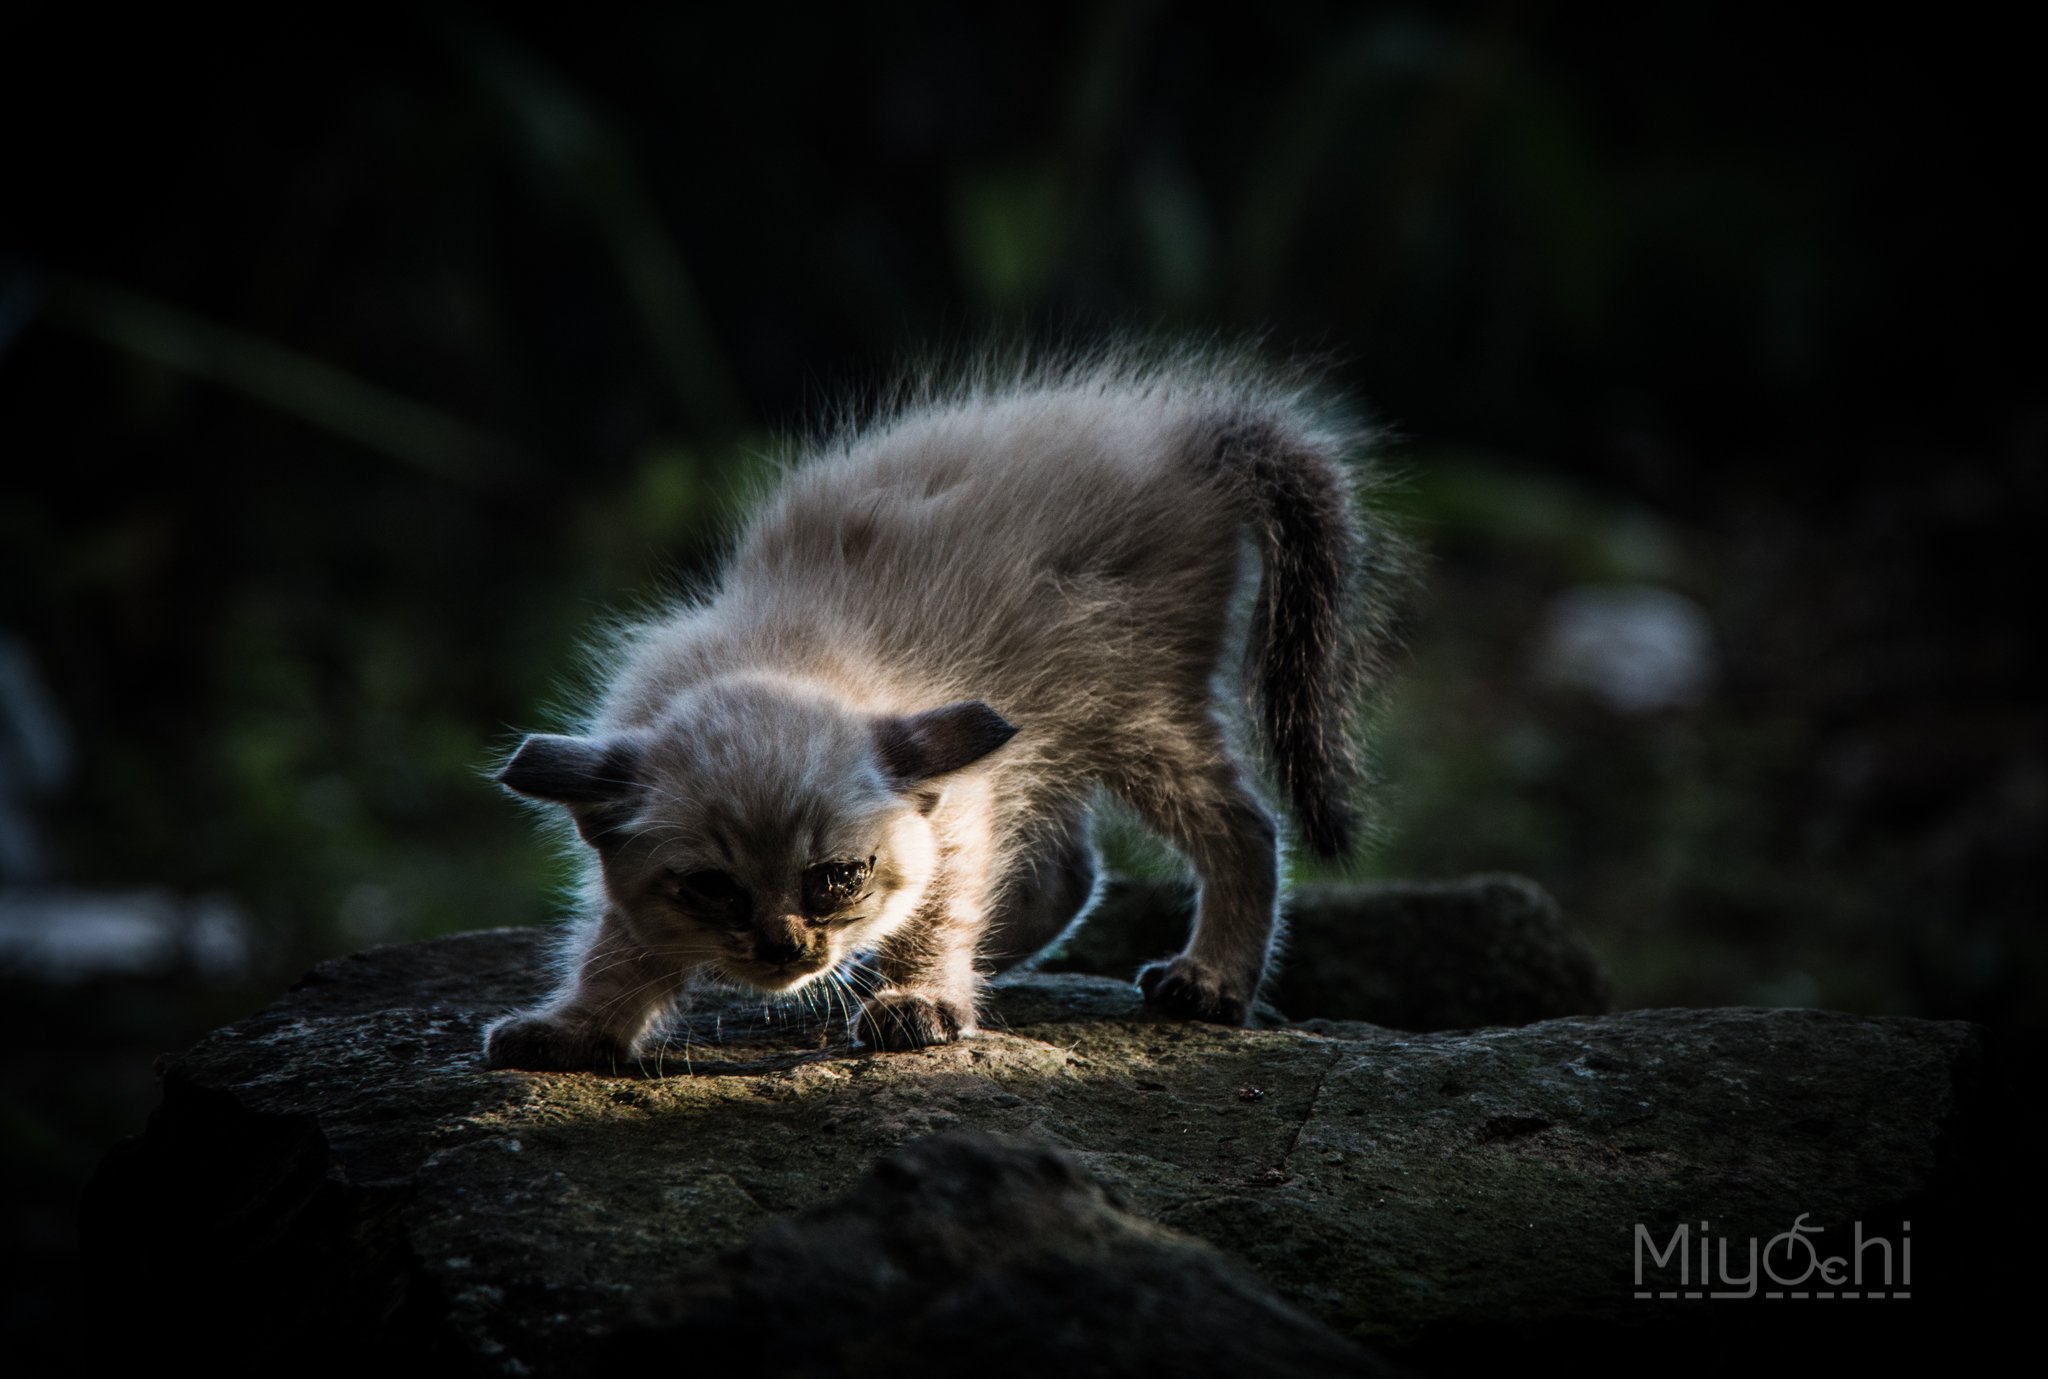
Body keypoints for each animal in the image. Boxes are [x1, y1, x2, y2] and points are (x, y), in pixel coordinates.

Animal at [481, 346, 1409, 1065]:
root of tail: (1182, 436)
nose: (787, 947)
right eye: (712, 886)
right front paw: (578, 1026)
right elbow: (617, 945)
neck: (783, 659)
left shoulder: (959, 796)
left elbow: (943, 902)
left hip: (1132, 703)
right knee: (1075, 871)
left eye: (836, 877)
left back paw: (1209, 980)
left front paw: (922, 997)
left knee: (1243, 825)